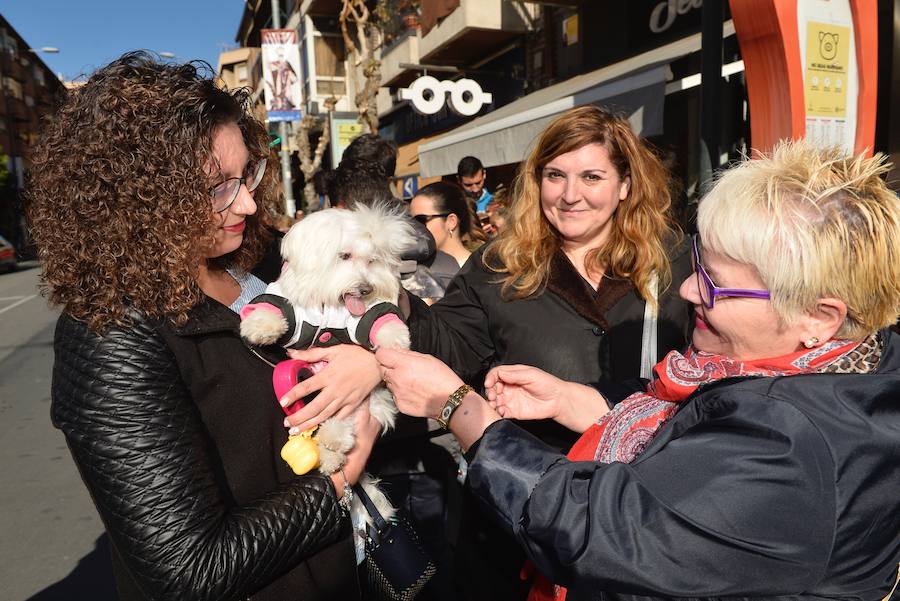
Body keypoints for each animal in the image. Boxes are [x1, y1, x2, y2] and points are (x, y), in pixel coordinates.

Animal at [243, 205, 418, 524]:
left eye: (372, 260)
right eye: (344, 256)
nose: (366, 288)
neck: (330, 304)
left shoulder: (356, 320)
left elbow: (375, 317)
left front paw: (395, 335)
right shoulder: (292, 305)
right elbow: (274, 304)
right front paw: (260, 325)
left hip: (361, 400)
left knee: (342, 424)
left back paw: (332, 446)